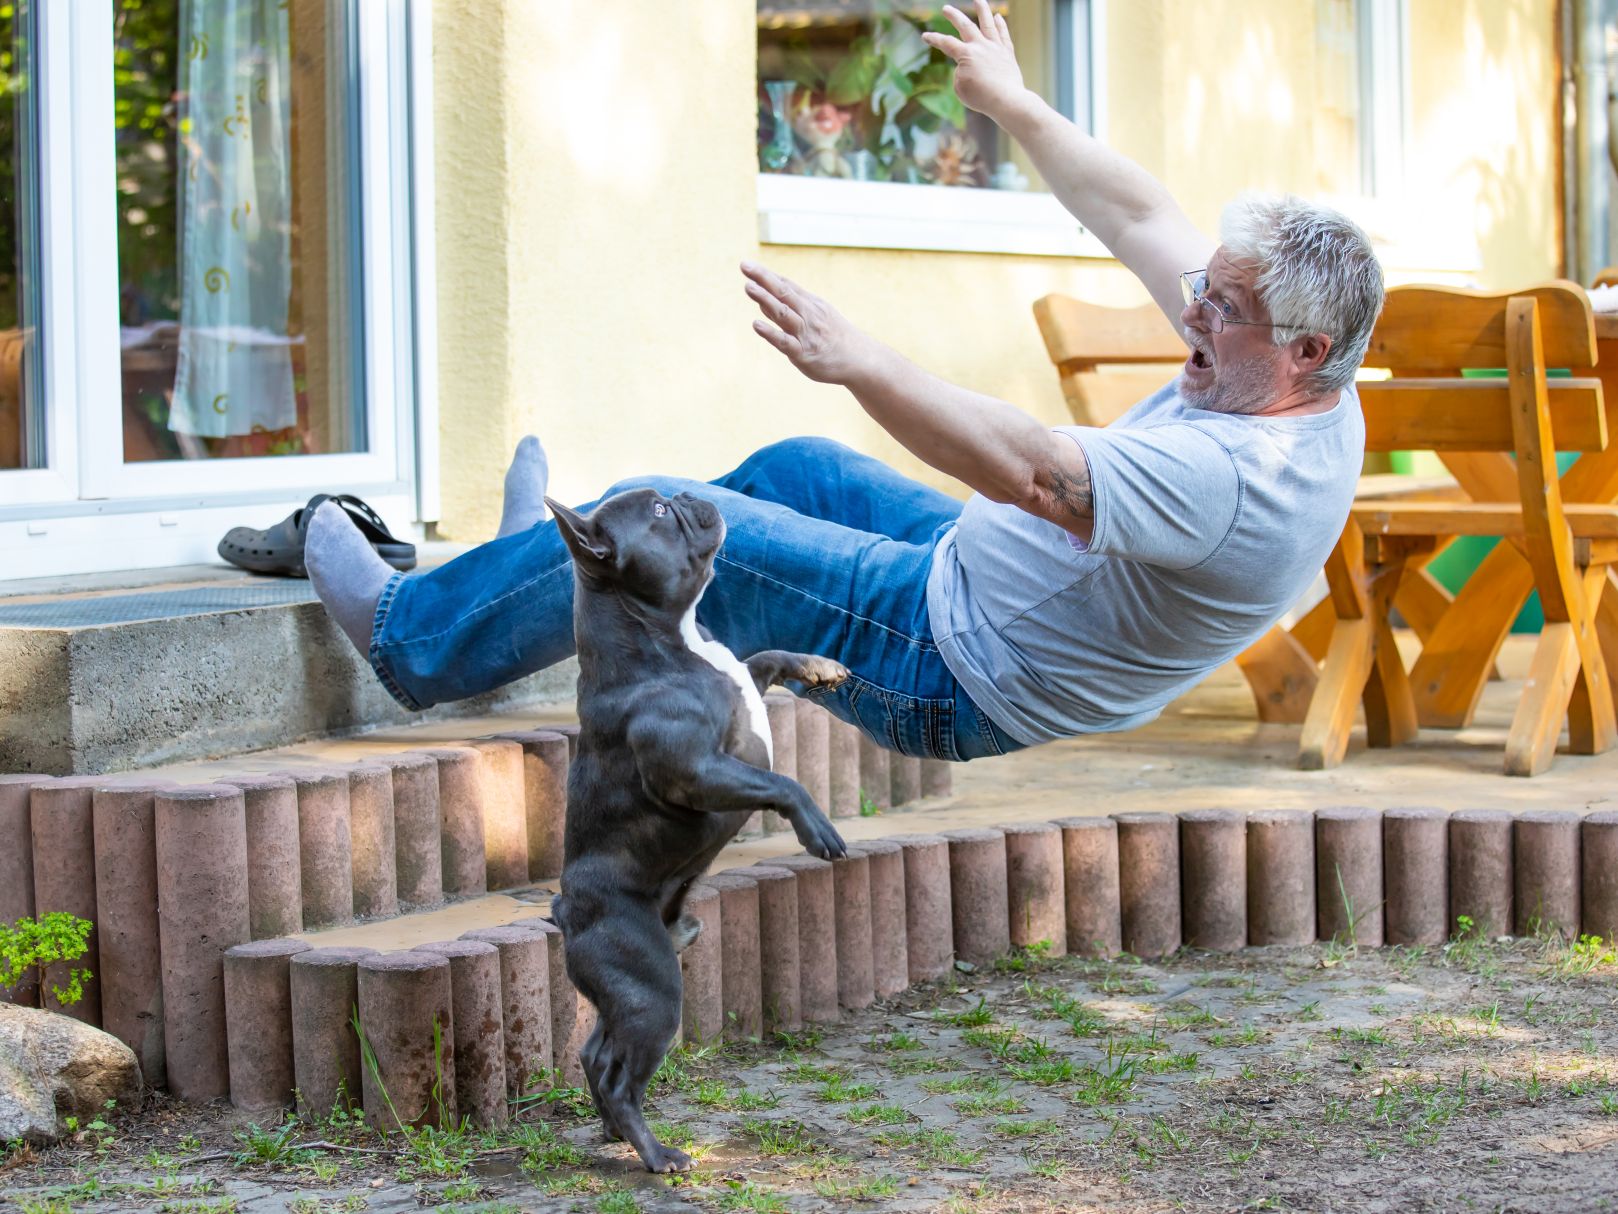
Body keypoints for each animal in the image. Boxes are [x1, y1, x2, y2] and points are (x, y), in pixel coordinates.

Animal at [540, 488, 847, 1178]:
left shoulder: (743, 685)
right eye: (658, 513)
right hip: (652, 989)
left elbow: (765, 657)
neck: (670, 640)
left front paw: (819, 665)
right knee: (619, 1073)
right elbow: (782, 782)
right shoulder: (695, 772)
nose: (685, 493)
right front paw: (817, 828)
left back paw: (614, 1132)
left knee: (596, 1053)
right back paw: (656, 1154)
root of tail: (566, 913)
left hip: (634, 991)